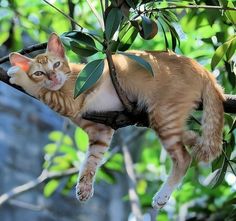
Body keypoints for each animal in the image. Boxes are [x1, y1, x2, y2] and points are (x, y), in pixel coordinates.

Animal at [8, 32, 224, 209]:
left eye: (56, 65)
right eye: (39, 73)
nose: (53, 78)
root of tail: (202, 68)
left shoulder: (71, 103)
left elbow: (40, 90)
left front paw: (18, 74)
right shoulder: (99, 129)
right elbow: (91, 159)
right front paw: (85, 186)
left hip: (163, 114)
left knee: (184, 157)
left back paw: (162, 195)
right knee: (190, 139)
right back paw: (191, 138)